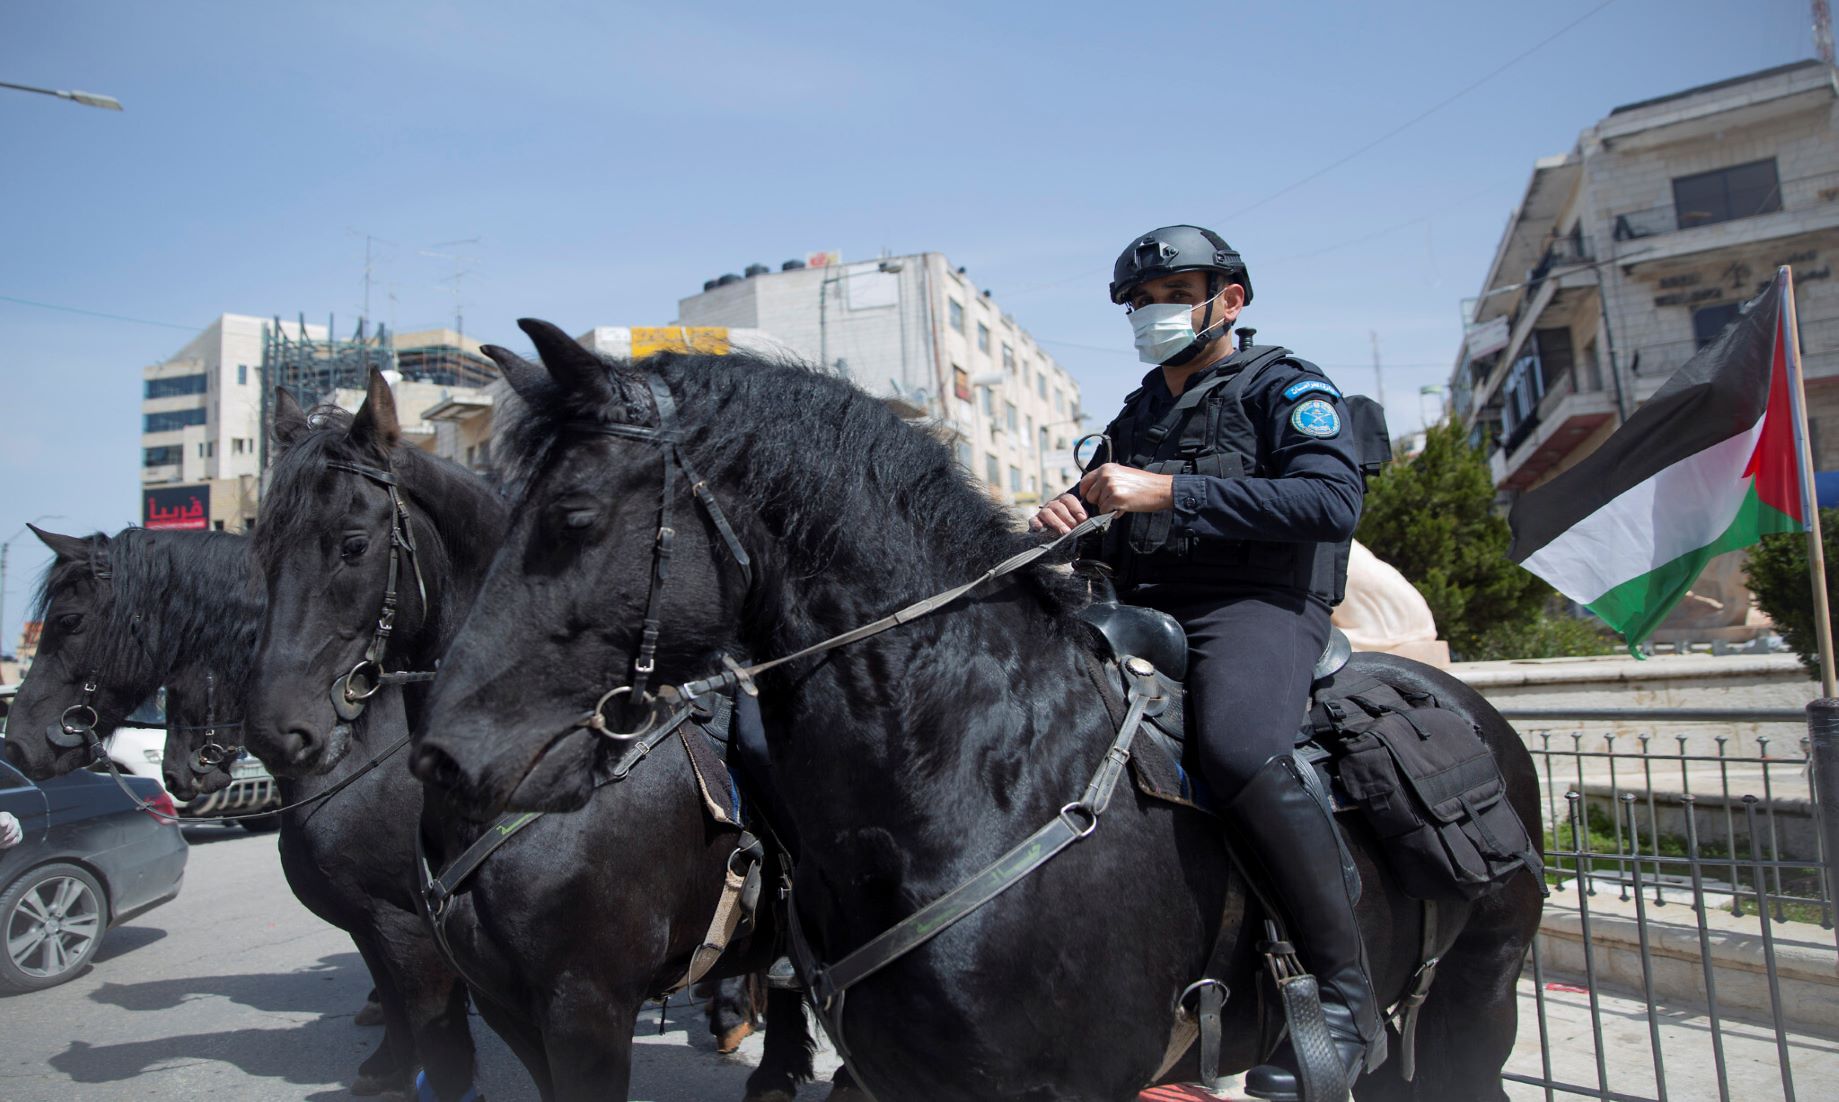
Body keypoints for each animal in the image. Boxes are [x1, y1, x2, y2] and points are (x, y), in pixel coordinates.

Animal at [1, 526, 474, 1096]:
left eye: (69, 621)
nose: (16, 746)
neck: (364, 757)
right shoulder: (368, 919)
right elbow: (391, 993)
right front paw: (388, 1065)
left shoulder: (403, 924)